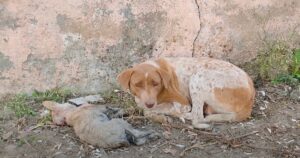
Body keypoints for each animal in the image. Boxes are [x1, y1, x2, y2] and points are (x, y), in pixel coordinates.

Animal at [117, 56, 255, 128]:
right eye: (138, 85)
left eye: (155, 83)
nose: (150, 103)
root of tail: (249, 102)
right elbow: (145, 109)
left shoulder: (183, 104)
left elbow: (152, 110)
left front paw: (160, 115)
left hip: (198, 77)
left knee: (197, 117)